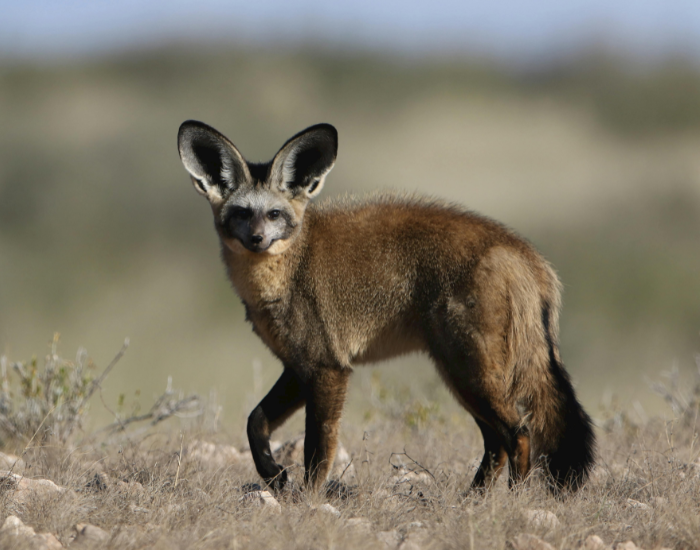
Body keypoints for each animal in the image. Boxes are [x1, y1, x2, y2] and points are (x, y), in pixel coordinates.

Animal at [177, 120, 595, 495]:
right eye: (242, 213)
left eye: (274, 214)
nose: (257, 240)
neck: (290, 270)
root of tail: (524, 252)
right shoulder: (299, 367)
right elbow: (255, 423)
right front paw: (274, 475)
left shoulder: (329, 368)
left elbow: (317, 452)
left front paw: (307, 503)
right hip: (462, 376)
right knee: (497, 443)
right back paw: (472, 502)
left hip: (470, 373)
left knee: (518, 434)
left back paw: (510, 502)